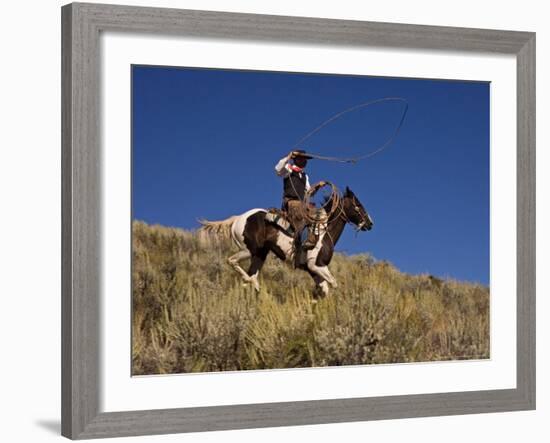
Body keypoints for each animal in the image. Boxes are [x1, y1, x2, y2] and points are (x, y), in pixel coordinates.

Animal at [199, 187, 376, 298]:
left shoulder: (314, 270)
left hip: (260, 255)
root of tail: (238, 218)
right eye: (358, 205)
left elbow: (324, 290)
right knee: (233, 262)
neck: (323, 231)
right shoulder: (316, 266)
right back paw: (253, 284)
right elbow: (333, 283)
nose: (370, 223)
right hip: (250, 250)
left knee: (249, 276)